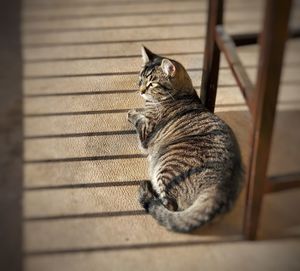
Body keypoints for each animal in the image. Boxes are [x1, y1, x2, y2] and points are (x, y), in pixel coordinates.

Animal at [127, 45, 244, 233]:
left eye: (152, 83)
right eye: (140, 78)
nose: (141, 91)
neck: (183, 94)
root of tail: (221, 188)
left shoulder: (145, 133)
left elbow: (139, 119)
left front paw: (132, 113)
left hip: (166, 168)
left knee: (169, 206)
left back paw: (149, 192)